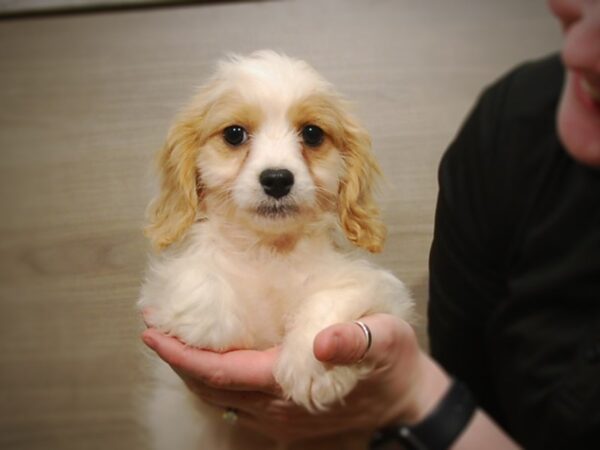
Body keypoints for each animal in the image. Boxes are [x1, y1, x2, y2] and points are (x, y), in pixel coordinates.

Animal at [139, 50, 412, 450]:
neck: (269, 251)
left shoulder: (382, 292)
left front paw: (314, 367)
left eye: (312, 134)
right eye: (234, 134)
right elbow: (197, 281)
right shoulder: (164, 289)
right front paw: (218, 326)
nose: (278, 179)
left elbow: (335, 298)